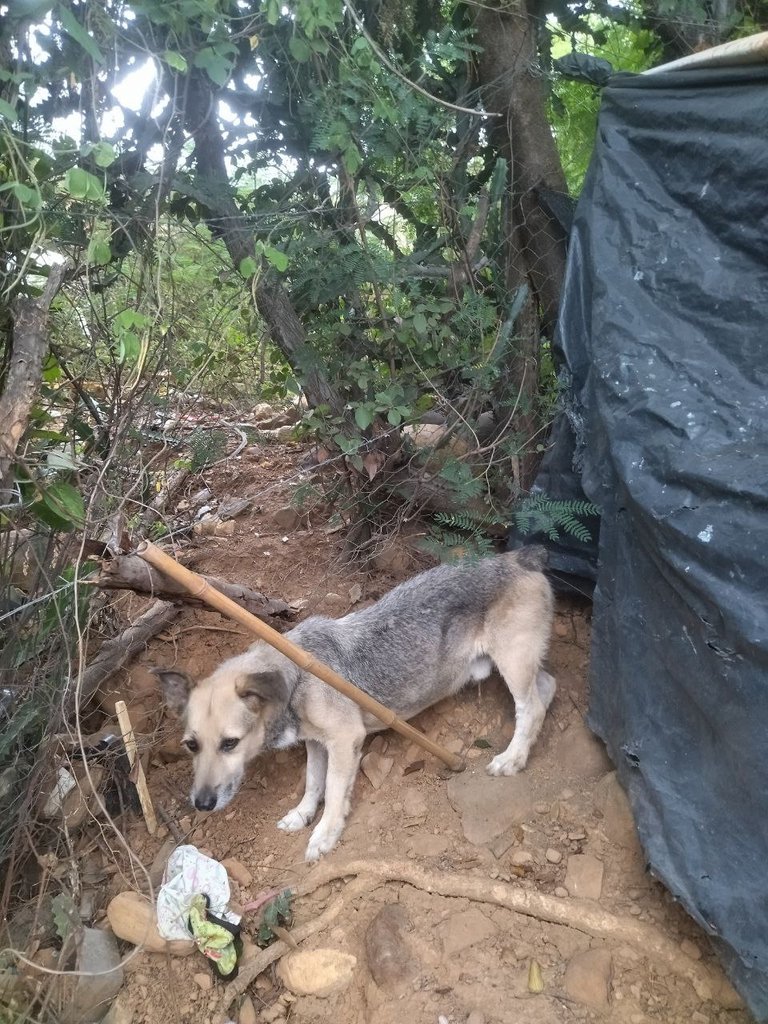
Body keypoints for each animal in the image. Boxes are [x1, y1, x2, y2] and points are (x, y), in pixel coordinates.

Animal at [156, 548, 557, 860]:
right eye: (191, 745)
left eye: (230, 743)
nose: (201, 804)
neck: (296, 677)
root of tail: (519, 557)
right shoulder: (316, 743)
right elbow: (312, 782)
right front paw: (302, 815)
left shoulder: (345, 740)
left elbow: (334, 792)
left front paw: (325, 834)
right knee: (547, 688)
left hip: (513, 659)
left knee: (531, 706)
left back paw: (513, 758)